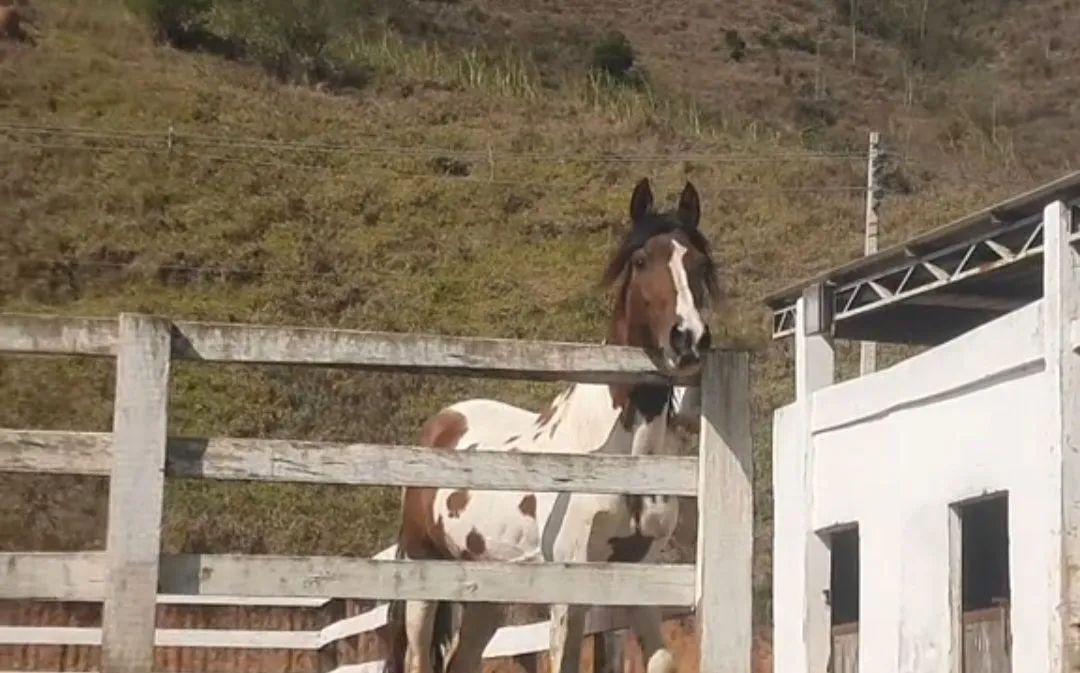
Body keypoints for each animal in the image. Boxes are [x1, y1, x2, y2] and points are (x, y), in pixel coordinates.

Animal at [381, 177, 719, 673]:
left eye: (699, 263)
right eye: (640, 261)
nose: (689, 338)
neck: (621, 454)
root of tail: (442, 423)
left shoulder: (638, 576)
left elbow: (660, 660)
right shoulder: (569, 587)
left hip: (485, 594)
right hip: (425, 575)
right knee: (420, 659)